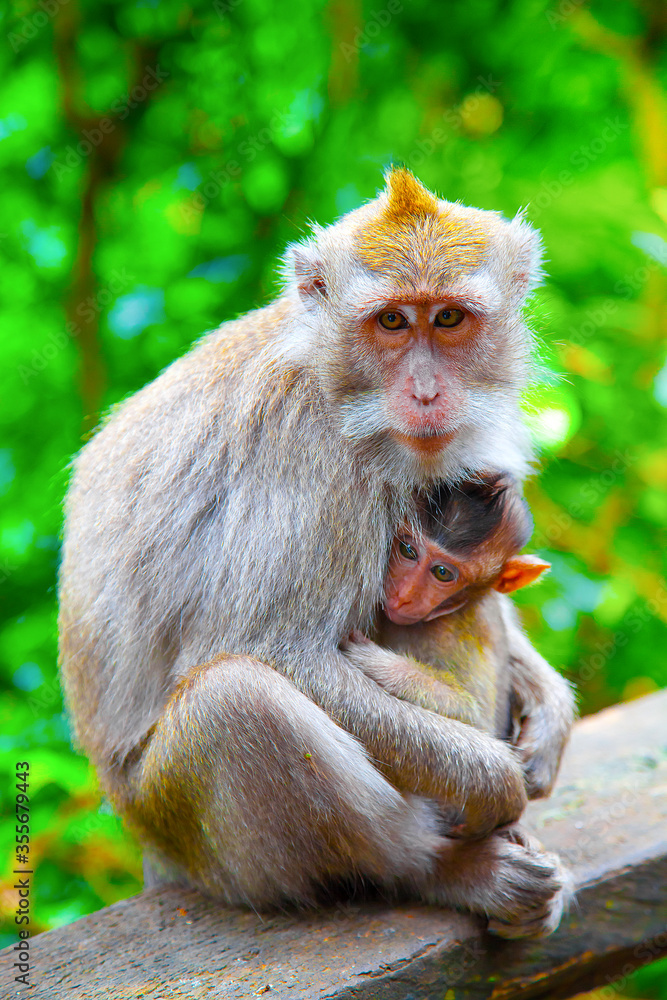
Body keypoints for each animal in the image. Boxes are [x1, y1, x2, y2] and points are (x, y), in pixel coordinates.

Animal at [342, 474, 574, 800]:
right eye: (408, 550)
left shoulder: (456, 631)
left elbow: (473, 714)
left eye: (442, 572)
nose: (403, 595)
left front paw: (380, 664)